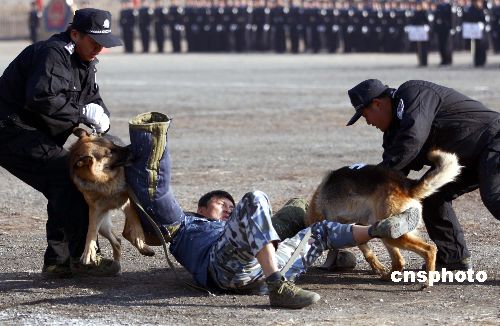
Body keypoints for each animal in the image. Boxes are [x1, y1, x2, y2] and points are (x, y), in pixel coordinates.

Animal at [69, 129, 154, 266]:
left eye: (113, 145)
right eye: (109, 153)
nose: (132, 148)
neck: (105, 181)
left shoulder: (128, 200)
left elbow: (135, 219)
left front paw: (139, 238)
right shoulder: (95, 212)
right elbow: (90, 231)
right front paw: (88, 251)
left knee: (125, 232)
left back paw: (143, 247)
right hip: (103, 226)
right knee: (118, 240)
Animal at [306, 149, 462, 284]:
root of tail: (405, 184)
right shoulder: (356, 228)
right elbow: (367, 251)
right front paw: (377, 267)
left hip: (391, 234)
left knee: (430, 249)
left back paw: (427, 281)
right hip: (385, 231)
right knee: (399, 262)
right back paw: (387, 276)